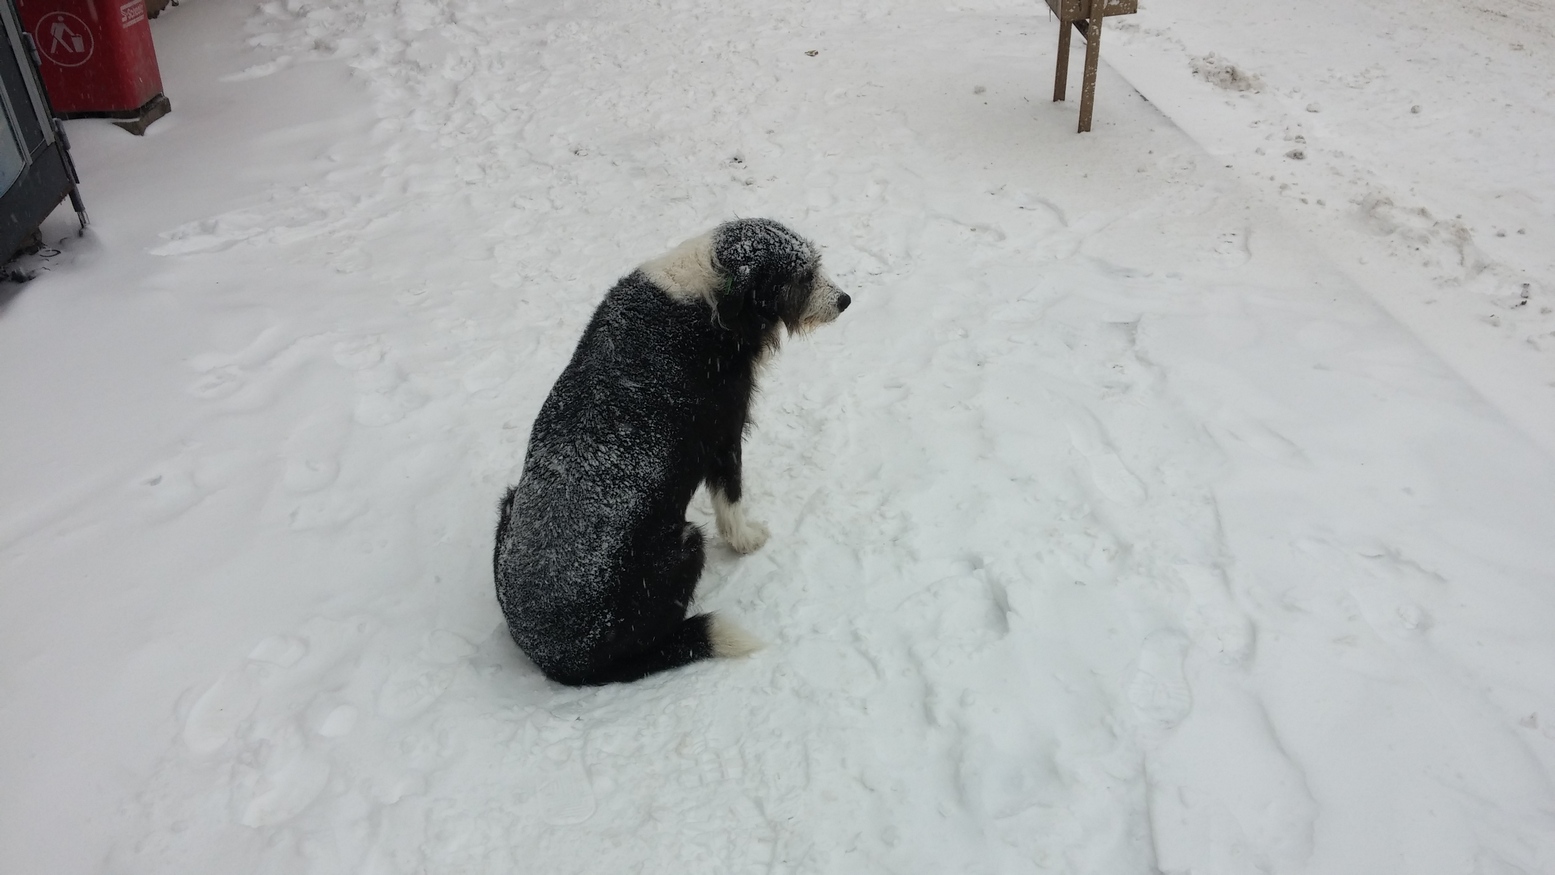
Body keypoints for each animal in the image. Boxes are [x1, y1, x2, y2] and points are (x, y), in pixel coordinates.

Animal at [491, 217, 852, 683]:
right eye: (803, 276)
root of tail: (560, 660)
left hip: (508, 502)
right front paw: (747, 540)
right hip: (687, 544)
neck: (712, 293)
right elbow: (731, 501)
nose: (845, 300)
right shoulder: (723, 434)